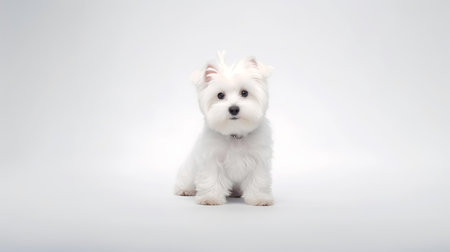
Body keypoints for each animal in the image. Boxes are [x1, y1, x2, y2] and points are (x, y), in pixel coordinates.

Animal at [175, 51, 274, 207]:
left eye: (245, 93)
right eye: (220, 95)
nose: (233, 109)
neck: (234, 134)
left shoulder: (258, 159)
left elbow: (258, 180)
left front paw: (259, 198)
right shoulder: (212, 158)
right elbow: (211, 178)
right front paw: (210, 198)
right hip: (188, 172)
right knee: (185, 181)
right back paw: (185, 190)